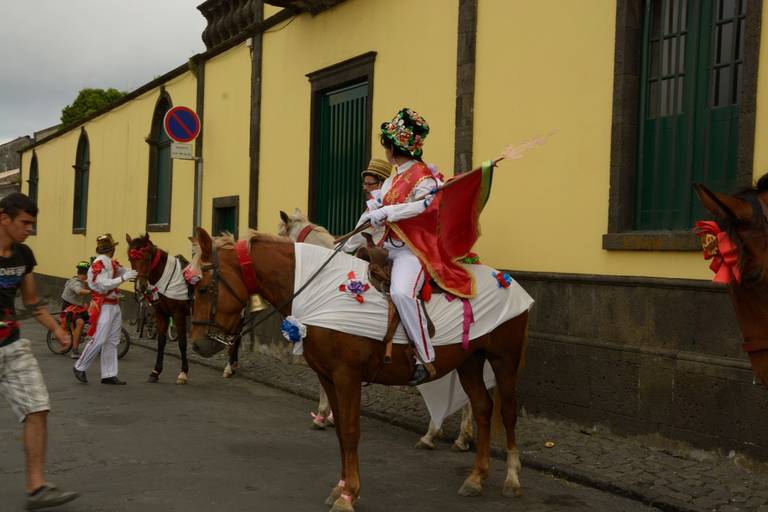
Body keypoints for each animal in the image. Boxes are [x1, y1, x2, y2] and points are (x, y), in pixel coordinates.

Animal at [126, 233, 191, 385]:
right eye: (131, 259)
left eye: (147, 258)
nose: (141, 286)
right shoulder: (162, 314)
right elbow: (161, 342)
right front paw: (155, 372)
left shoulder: (179, 315)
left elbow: (182, 342)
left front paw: (183, 373)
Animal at [188, 227, 530, 511]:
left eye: (203, 288)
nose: (198, 345)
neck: (319, 290)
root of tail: (507, 279)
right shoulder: (327, 377)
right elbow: (340, 430)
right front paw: (340, 488)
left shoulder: (346, 376)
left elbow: (351, 432)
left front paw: (349, 495)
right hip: (469, 361)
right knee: (483, 408)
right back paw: (476, 477)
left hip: (504, 359)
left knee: (506, 413)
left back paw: (512, 479)